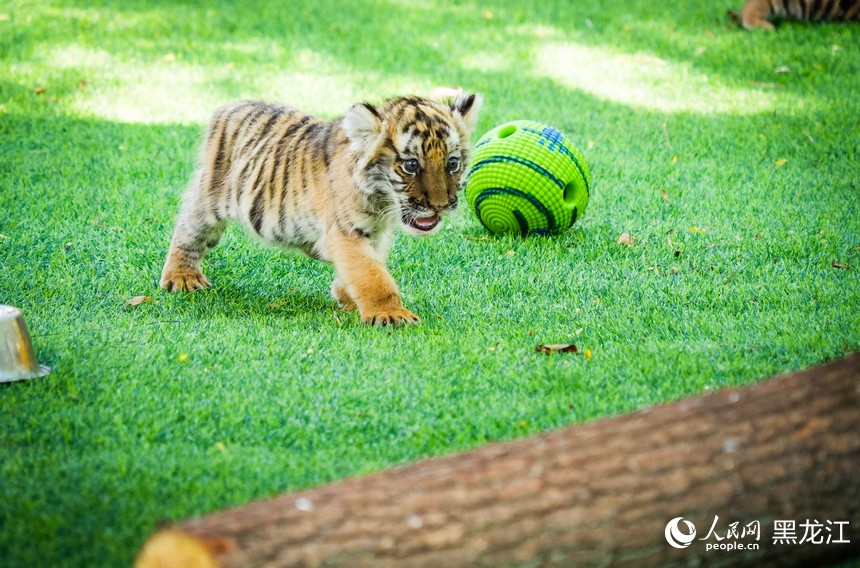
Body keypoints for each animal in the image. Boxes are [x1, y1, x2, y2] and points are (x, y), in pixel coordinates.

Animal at [159, 92, 482, 326]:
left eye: (452, 163)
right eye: (411, 165)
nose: (440, 205)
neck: (383, 202)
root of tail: (231, 105)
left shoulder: (376, 234)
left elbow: (371, 264)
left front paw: (345, 295)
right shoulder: (346, 232)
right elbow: (373, 275)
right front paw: (391, 314)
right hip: (209, 198)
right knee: (188, 229)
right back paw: (182, 277)